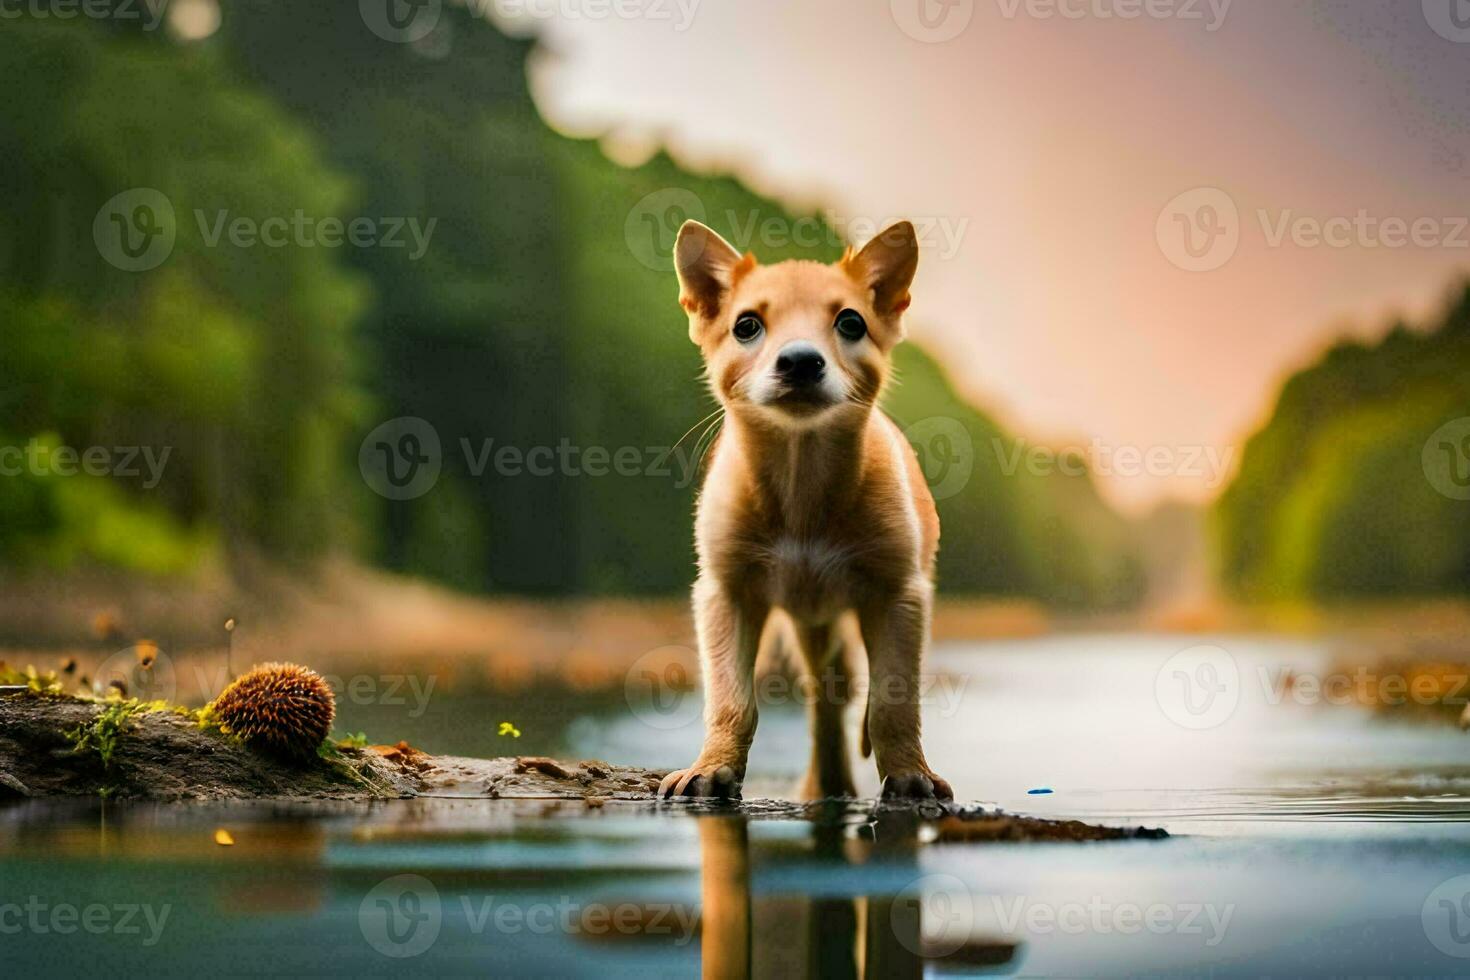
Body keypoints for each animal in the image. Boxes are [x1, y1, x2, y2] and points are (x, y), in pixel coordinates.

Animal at [658, 220, 952, 805]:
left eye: (851, 322)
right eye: (746, 325)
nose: (799, 361)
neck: (802, 487)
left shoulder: (898, 595)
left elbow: (893, 704)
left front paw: (910, 776)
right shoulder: (726, 594)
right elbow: (732, 700)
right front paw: (712, 768)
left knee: (839, 697)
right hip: (809, 626)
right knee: (824, 699)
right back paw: (826, 784)